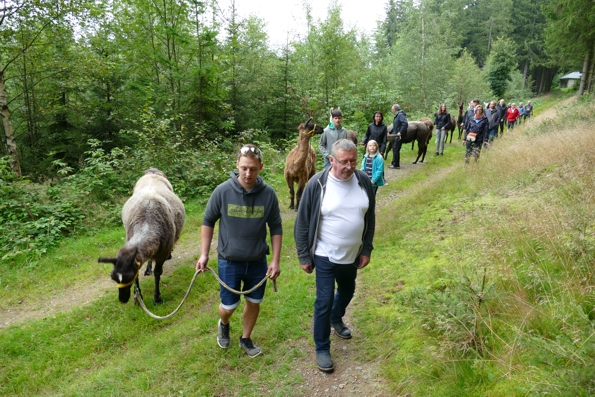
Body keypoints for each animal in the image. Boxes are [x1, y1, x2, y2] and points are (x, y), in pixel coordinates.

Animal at [98, 168, 186, 304]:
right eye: (113, 277)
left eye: (129, 276)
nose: (123, 299)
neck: (146, 221)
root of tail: (152, 171)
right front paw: (138, 297)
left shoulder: (161, 253)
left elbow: (157, 273)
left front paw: (157, 297)